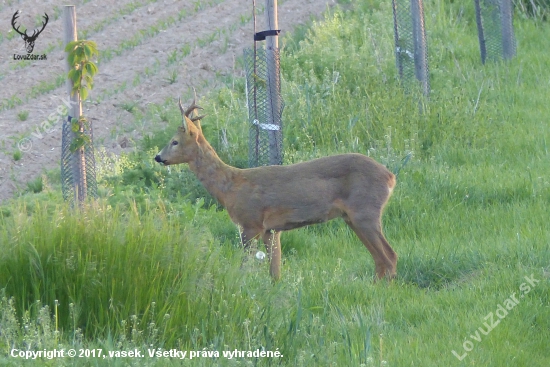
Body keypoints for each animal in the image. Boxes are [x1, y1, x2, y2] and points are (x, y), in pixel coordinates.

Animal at [155, 99, 396, 280]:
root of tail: (390, 177)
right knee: (380, 259)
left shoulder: (250, 223)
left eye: (174, 141)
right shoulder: (271, 230)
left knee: (389, 256)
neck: (230, 188)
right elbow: (275, 272)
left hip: (365, 211)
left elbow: (246, 265)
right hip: (352, 217)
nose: (158, 157)